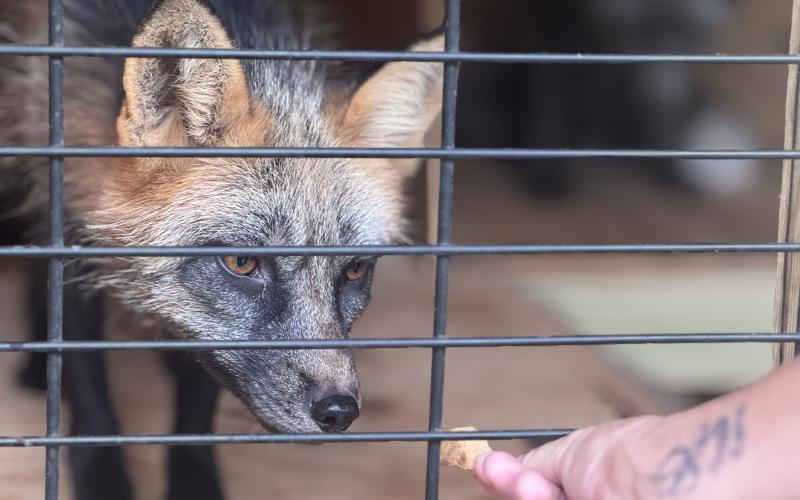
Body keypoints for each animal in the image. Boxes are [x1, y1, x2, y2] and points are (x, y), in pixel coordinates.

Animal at [0, 0, 444, 499]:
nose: (339, 411)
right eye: (242, 262)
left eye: (354, 270)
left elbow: (197, 398)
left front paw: (193, 478)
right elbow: (87, 380)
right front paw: (103, 478)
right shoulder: (67, 226)